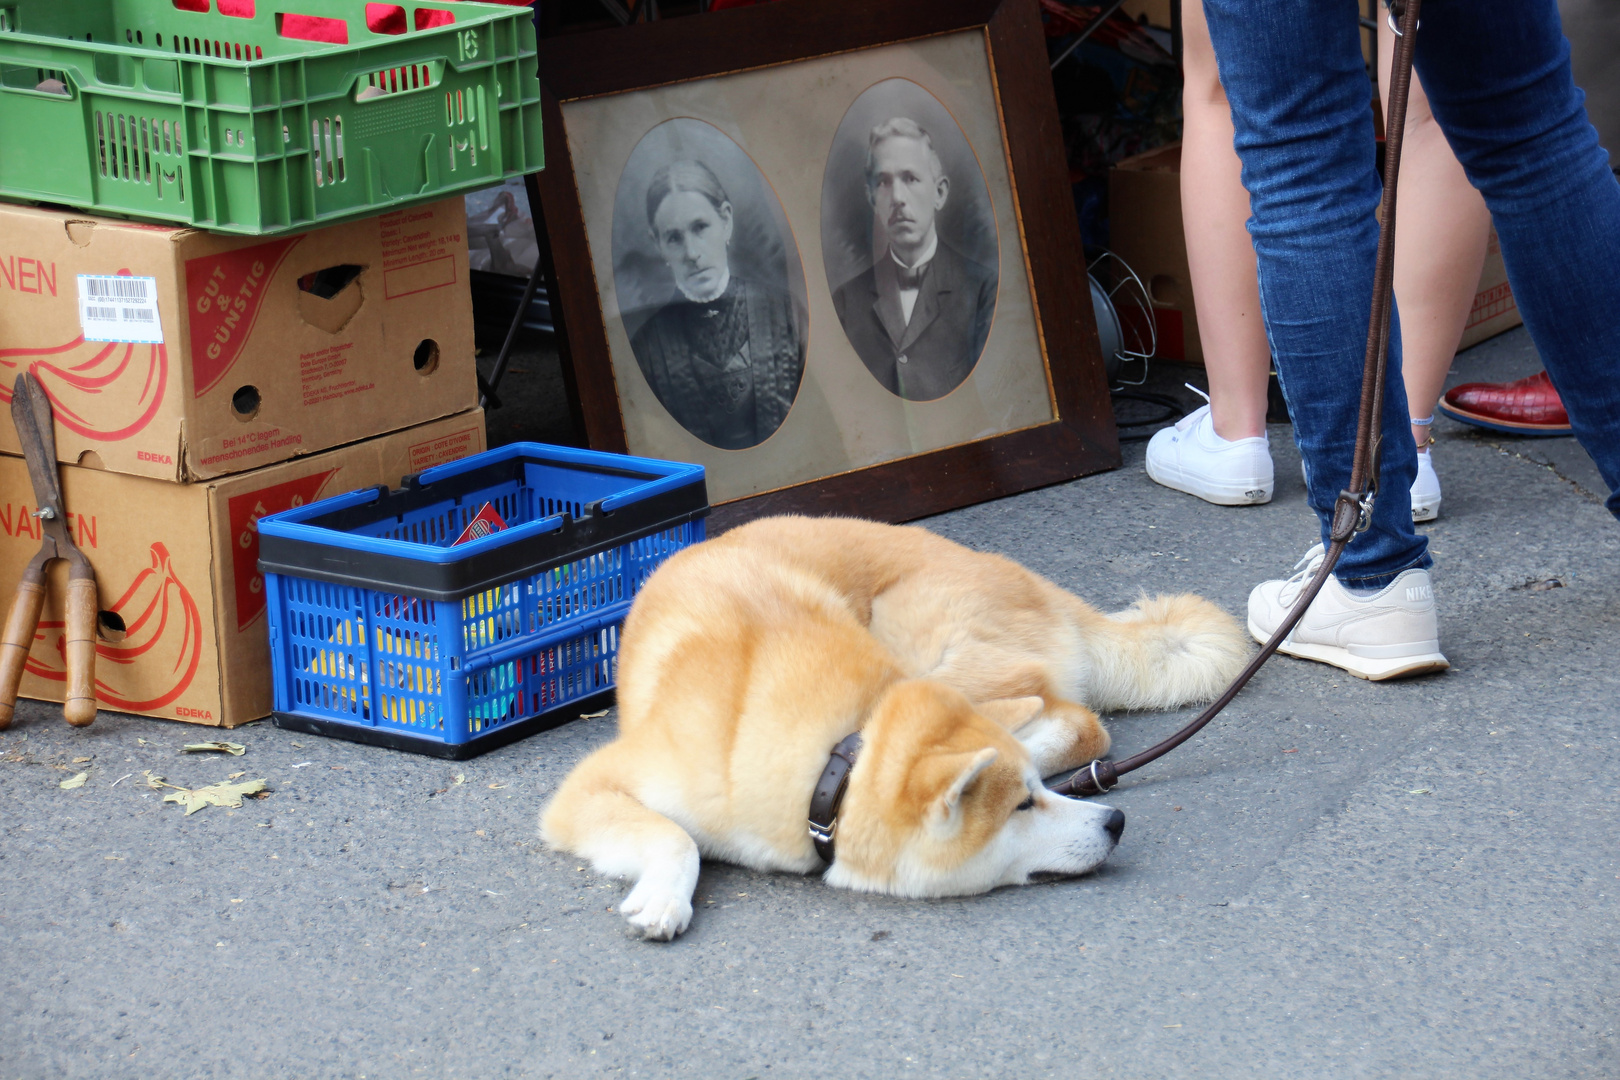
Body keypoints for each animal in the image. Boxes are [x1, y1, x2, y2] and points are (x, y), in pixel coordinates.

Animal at [537, 514, 1244, 939]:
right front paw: (663, 899)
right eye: (1022, 807)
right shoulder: (585, 792)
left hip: (922, 637)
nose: (1116, 821)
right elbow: (676, 837)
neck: (835, 758)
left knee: (1081, 722)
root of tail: (1038, 584)